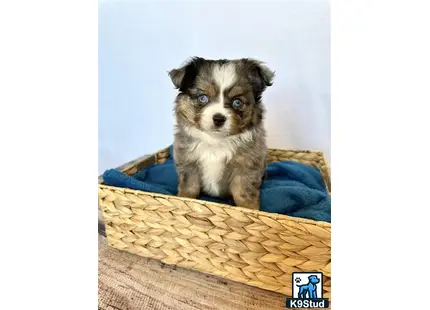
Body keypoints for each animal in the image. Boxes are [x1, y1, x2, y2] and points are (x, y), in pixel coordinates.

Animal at [169, 57, 276, 209]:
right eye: (203, 98)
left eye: (237, 102)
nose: (219, 119)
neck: (216, 140)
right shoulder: (188, 163)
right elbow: (189, 187)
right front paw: (184, 200)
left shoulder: (246, 167)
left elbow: (243, 193)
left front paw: (250, 209)